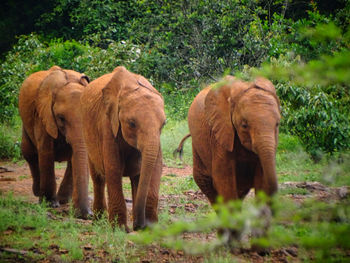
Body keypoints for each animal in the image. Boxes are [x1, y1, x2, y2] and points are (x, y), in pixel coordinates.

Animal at [18, 67, 91, 220]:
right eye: (61, 118)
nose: (87, 215)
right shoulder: (43, 115)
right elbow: (46, 152)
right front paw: (50, 204)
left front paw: (63, 202)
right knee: (29, 153)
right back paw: (37, 192)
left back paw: (62, 199)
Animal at [80, 67, 166, 232]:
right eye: (132, 123)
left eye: (164, 124)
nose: (139, 226)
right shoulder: (107, 123)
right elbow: (113, 168)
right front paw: (119, 229)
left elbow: (156, 167)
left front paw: (152, 227)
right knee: (98, 178)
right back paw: (98, 221)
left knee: (136, 178)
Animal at [176, 77, 280, 207]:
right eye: (244, 125)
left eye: (277, 124)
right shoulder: (220, 134)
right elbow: (224, 178)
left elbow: (262, 178)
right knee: (205, 182)